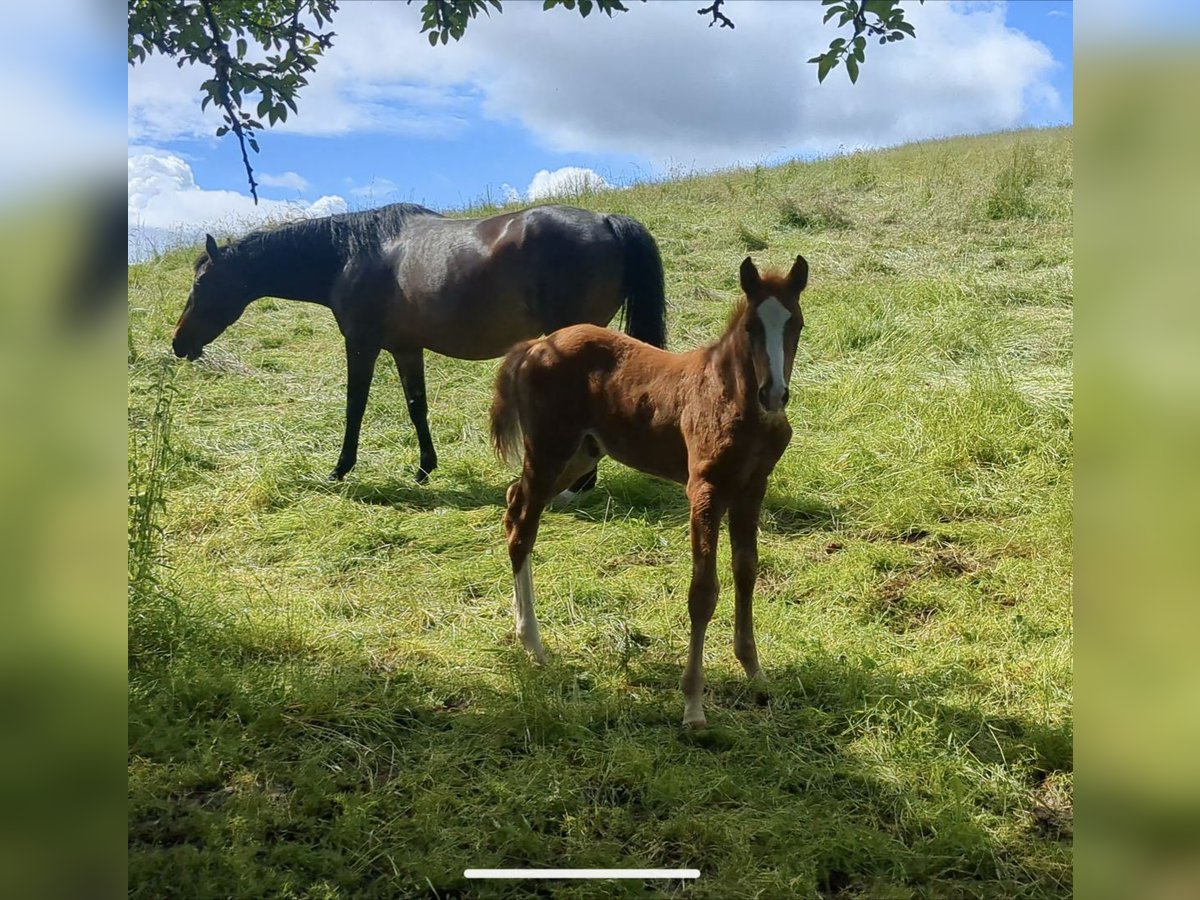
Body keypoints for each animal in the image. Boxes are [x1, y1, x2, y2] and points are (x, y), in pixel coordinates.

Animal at [174, 202, 672, 487]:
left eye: (200, 285)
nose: (179, 343)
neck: (349, 255)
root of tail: (606, 220)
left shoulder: (362, 344)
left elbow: (355, 406)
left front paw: (340, 468)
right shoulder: (406, 349)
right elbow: (417, 406)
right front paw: (424, 468)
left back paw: (578, 484)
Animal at [492, 255, 811, 734]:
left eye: (797, 323)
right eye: (752, 326)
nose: (773, 393)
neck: (733, 398)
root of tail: (534, 345)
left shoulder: (752, 487)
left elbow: (746, 572)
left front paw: (755, 673)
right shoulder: (704, 490)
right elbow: (703, 591)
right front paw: (693, 705)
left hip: (580, 457)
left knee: (514, 504)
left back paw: (524, 634)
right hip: (550, 450)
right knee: (523, 528)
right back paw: (534, 644)